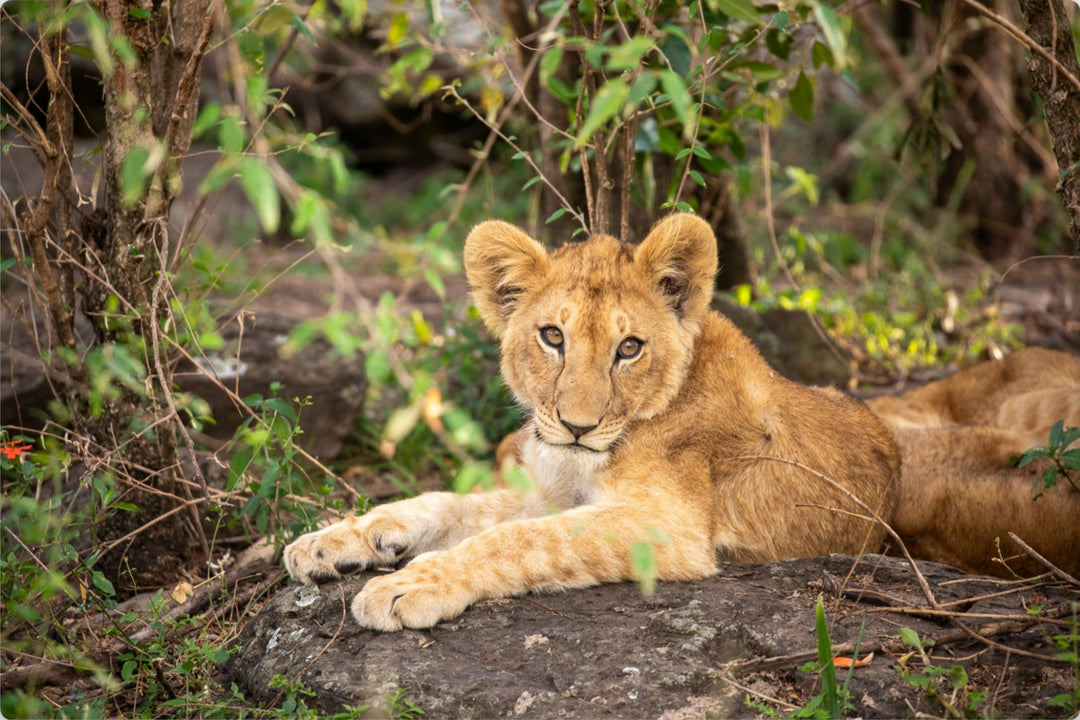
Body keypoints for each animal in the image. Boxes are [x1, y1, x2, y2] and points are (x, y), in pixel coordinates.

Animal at [284, 214, 903, 630]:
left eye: (629, 348)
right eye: (552, 336)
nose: (577, 427)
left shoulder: (672, 528)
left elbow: (518, 539)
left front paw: (407, 585)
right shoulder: (550, 489)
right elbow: (447, 504)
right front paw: (329, 540)